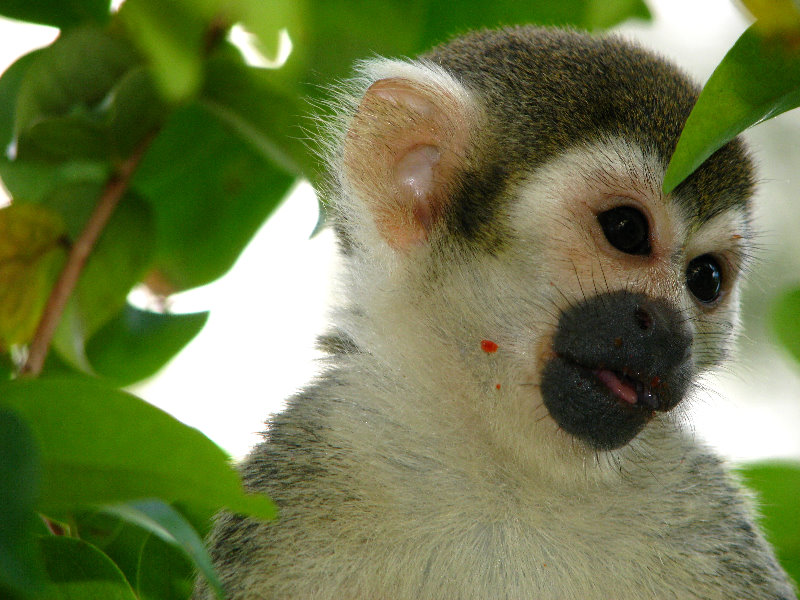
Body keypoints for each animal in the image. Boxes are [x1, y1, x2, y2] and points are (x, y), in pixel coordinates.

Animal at [195, 25, 800, 596]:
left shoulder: (705, 512)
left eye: (706, 279)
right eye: (626, 230)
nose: (672, 333)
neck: (505, 463)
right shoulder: (301, 470)